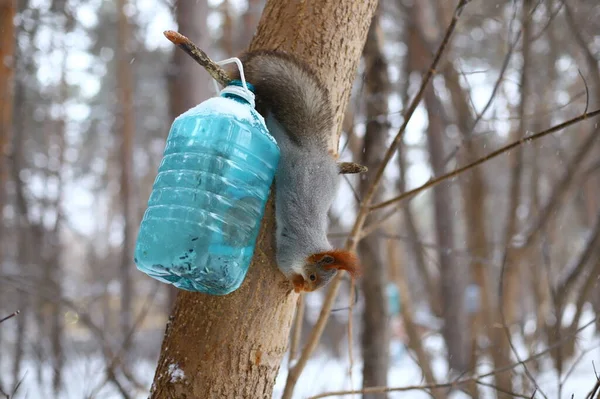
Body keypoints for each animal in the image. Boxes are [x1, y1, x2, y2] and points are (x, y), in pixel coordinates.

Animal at [229, 50, 360, 294]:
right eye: (312, 277)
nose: (307, 291)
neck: (310, 250)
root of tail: (310, 151)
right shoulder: (289, 252)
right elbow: (283, 266)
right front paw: (296, 284)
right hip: (285, 153)